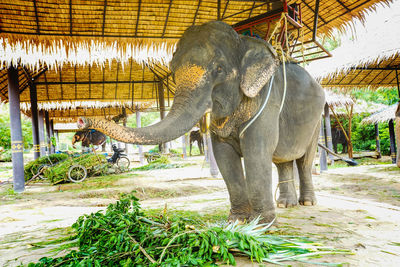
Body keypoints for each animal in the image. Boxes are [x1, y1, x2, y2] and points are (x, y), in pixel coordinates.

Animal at [77, 21, 324, 224]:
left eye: (219, 69)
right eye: (173, 72)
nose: (82, 119)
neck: (244, 40)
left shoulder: (266, 101)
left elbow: (256, 152)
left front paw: (263, 227)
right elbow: (224, 156)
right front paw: (238, 222)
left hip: (317, 119)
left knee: (304, 160)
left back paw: (307, 203)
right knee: (283, 160)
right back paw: (286, 205)